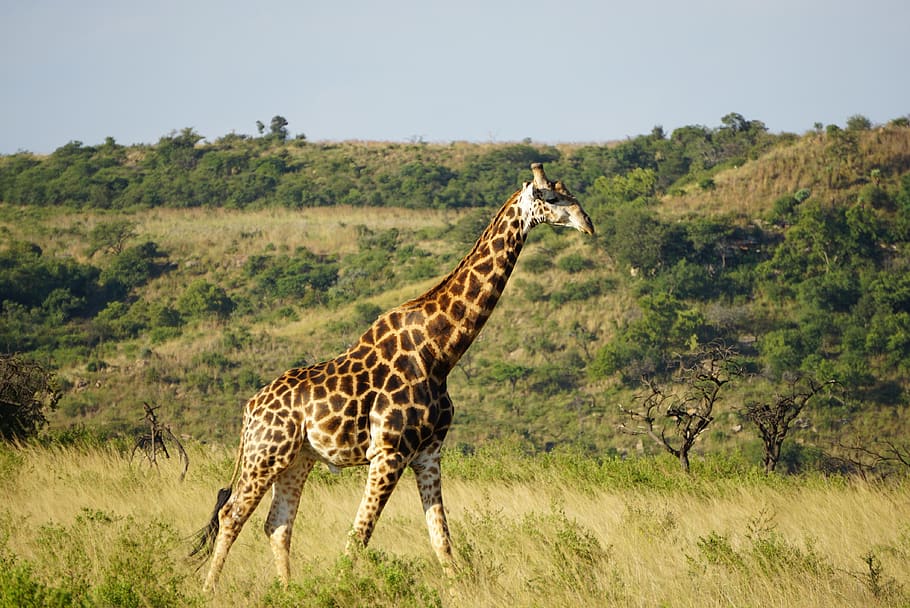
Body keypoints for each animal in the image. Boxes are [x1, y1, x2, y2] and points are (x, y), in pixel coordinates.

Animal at [191, 162, 594, 590]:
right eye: (551, 197)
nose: (587, 224)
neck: (441, 351)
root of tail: (250, 408)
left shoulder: (428, 453)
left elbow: (441, 540)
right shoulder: (389, 451)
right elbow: (359, 535)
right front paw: (342, 589)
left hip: (299, 458)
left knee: (277, 524)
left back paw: (288, 591)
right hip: (266, 452)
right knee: (232, 514)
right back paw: (209, 590)